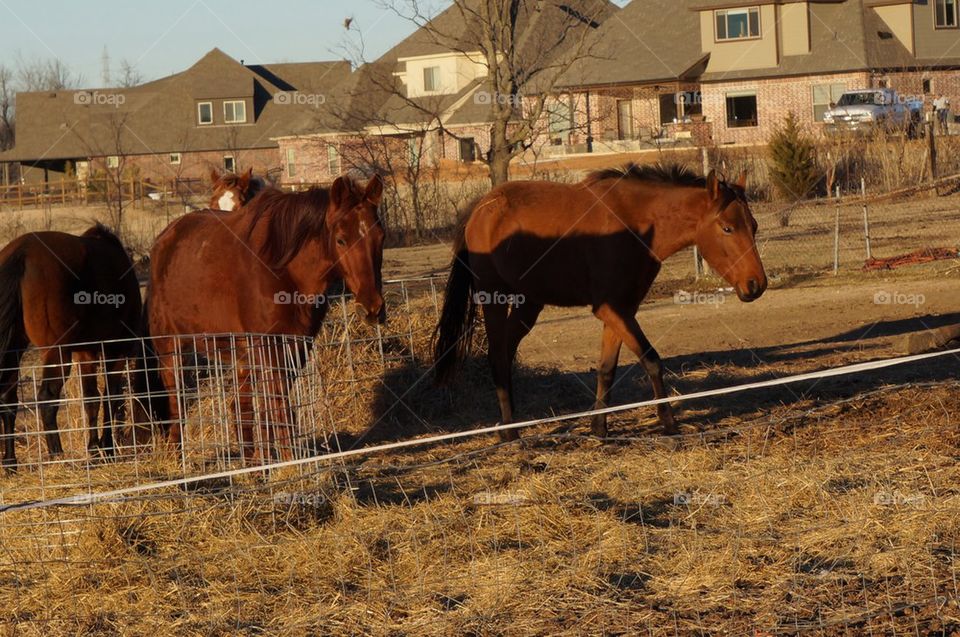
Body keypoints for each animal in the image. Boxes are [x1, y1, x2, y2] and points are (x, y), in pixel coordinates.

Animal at [0, 224, 142, 468]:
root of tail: (22, 252)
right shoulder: (114, 350)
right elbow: (111, 397)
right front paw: (107, 449)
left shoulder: (86, 353)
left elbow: (91, 398)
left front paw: (94, 449)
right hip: (56, 353)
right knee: (47, 399)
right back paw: (57, 456)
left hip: (14, 349)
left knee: (7, 400)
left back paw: (10, 463)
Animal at [144, 174, 384, 462]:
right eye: (341, 240)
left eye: (380, 237)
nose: (372, 307)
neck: (284, 268)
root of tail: (164, 239)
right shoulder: (269, 347)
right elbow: (279, 405)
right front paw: (290, 461)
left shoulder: (295, 345)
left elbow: (274, 405)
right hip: (170, 347)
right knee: (176, 399)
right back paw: (176, 455)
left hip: (239, 353)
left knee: (241, 406)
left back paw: (252, 459)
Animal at [434, 164, 764, 440]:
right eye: (726, 228)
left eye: (754, 226)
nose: (756, 284)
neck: (635, 222)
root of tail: (482, 207)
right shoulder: (610, 309)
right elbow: (652, 360)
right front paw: (668, 422)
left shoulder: (622, 310)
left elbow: (607, 368)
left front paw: (599, 427)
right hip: (494, 299)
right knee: (497, 356)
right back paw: (509, 432)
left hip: (529, 305)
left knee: (505, 353)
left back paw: (512, 423)